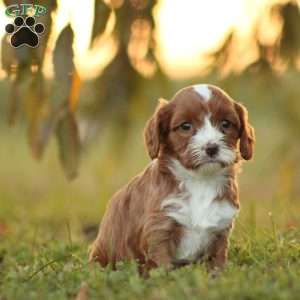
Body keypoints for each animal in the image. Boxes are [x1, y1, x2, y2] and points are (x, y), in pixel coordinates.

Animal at [89, 84, 255, 274]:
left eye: (226, 124)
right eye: (185, 126)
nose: (211, 147)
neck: (200, 181)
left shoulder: (220, 229)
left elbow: (217, 263)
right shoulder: (159, 229)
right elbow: (163, 268)